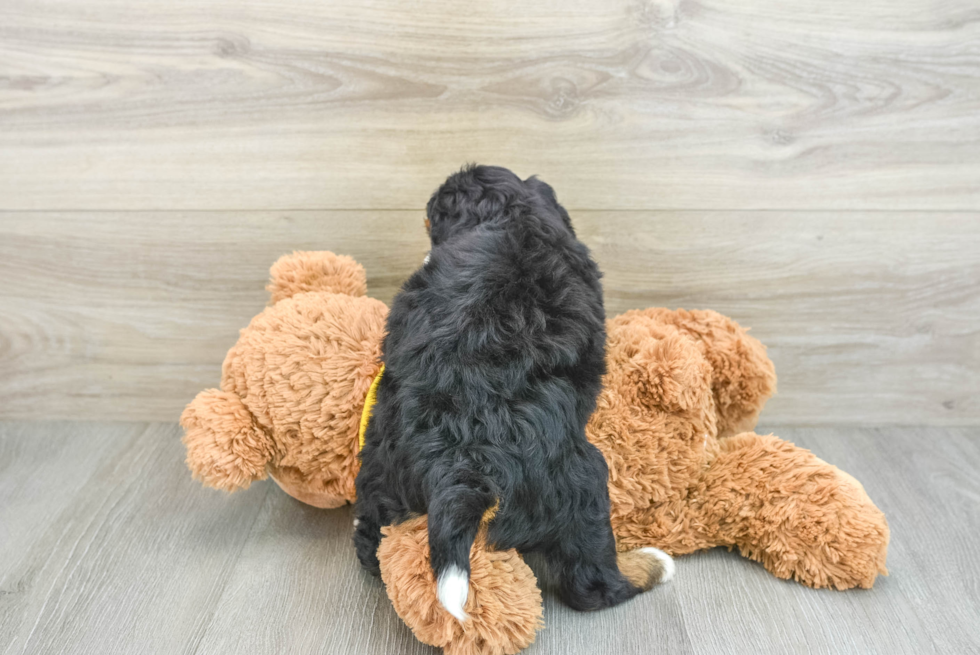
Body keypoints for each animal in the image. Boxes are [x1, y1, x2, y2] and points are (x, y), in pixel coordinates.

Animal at [354, 164, 672, 620]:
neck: (510, 215)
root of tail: (464, 463)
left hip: (381, 458)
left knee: (373, 538)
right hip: (584, 484)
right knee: (591, 584)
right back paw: (651, 565)